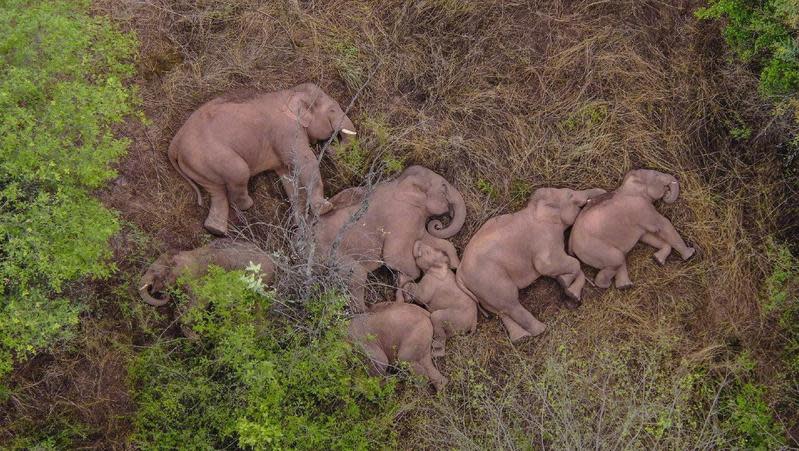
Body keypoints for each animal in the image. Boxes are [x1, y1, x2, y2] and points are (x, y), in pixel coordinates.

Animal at [314, 164, 466, 312]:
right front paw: (404, 286)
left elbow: (429, 240)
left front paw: (453, 265)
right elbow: (393, 256)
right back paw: (370, 309)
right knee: (357, 276)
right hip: (332, 254)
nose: (438, 225)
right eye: (444, 188)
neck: (399, 182)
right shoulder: (401, 217)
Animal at [456, 187, 608, 342]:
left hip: (482, 291)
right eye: (570, 194)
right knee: (511, 303)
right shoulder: (544, 239)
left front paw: (568, 287)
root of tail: (459, 274)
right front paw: (567, 286)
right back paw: (541, 330)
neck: (535, 208)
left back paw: (520, 337)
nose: (603, 192)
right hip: (490, 281)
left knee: (501, 310)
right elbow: (550, 265)